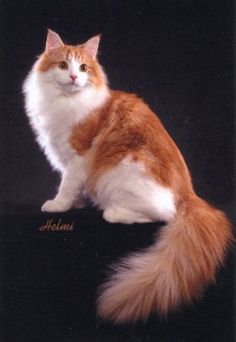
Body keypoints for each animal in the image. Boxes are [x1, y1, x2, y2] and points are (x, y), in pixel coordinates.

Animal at [23, 30, 233, 324]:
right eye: (63, 66)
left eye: (83, 68)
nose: (74, 77)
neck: (67, 101)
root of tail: (190, 195)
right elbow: (75, 189)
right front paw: (77, 204)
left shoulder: (77, 157)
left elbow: (66, 186)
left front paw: (59, 205)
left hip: (123, 170)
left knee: (164, 213)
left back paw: (113, 212)